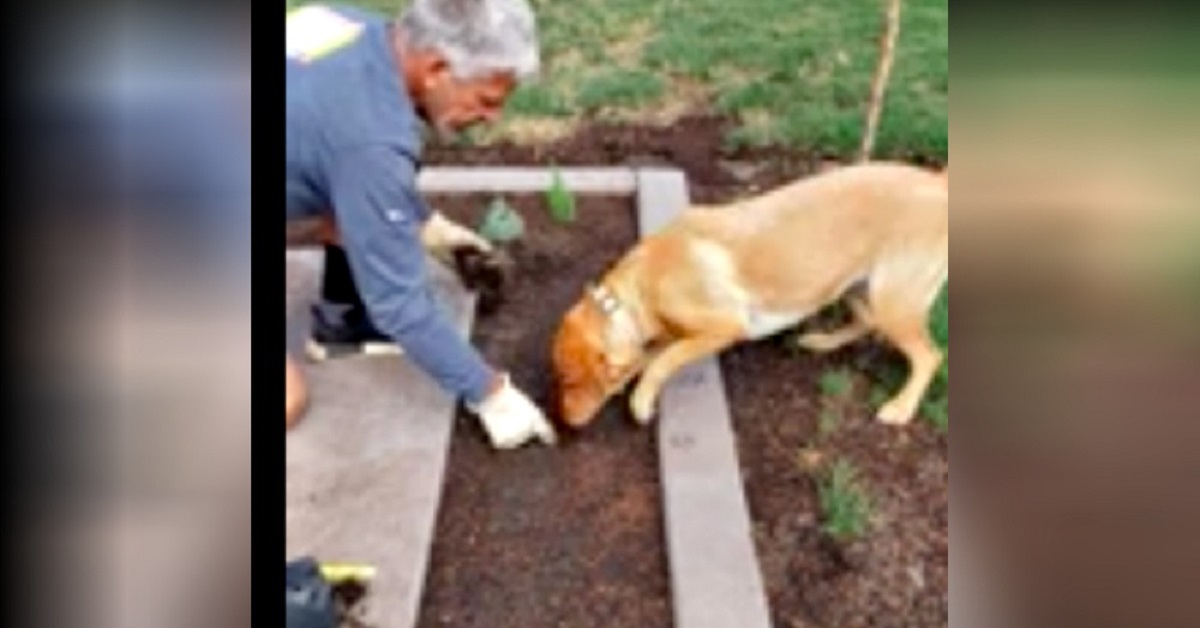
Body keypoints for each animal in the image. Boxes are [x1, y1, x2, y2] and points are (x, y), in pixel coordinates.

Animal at [549, 159, 945, 429]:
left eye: (568, 380)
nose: (564, 424)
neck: (642, 285)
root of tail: (938, 181)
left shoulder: (723, 328)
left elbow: (663, 361)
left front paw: (641, 401)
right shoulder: (669, 335)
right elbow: (651, 358)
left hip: (894, 301)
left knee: (929, 356)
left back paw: (902, 407)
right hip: (856, 288)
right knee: (867, 322)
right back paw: (822, 342)